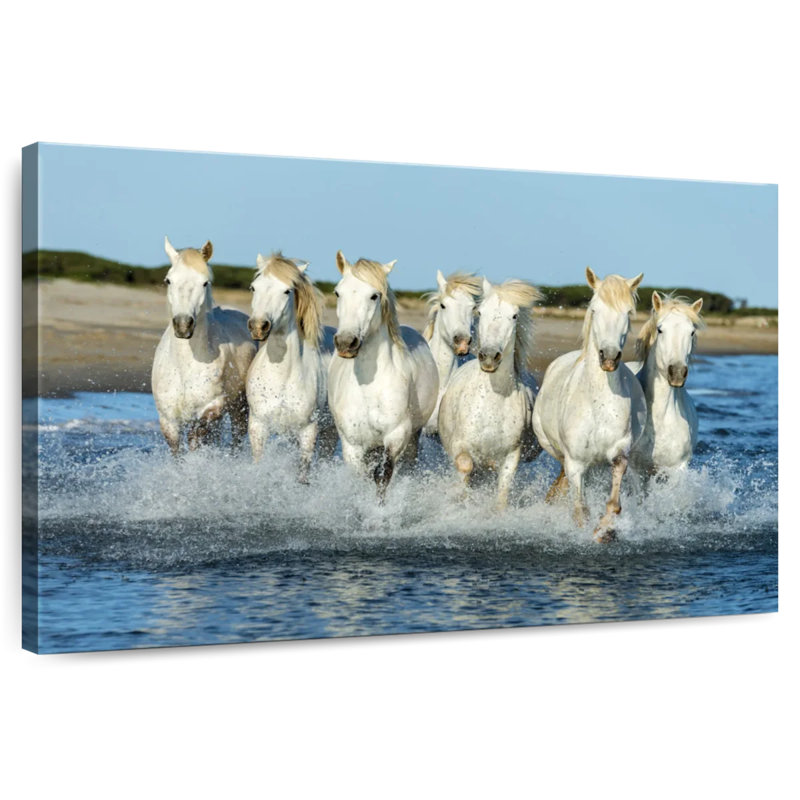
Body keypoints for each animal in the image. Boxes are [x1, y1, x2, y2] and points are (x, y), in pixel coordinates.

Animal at [152, 236, 256, 455]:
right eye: (168, 280)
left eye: (205, 282)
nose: (183, 325)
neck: (184, 367)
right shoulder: (168, 421)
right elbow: (177, 453)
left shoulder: (212, 407)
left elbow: (196, 439)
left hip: (239, 409)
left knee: (236, 439)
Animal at [245, 252, 338, 480]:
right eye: (253, 287)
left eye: (287, 291)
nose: (258, 327)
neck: (281, 378)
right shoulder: (258, 426)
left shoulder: (308, 431)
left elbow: (302, 475)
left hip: (330, 433)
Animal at [327, 251, 439, 501]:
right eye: (338, 292)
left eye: (374, 296)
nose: (346, 343)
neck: (369, 387)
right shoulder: (352, 444)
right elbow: (362, 477)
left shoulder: (396, 435)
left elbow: (382, 476)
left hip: (412, 436)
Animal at [438, 277, 542, 509]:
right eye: (480, 312)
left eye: (514, 316)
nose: (488, 357)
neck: (492, 402)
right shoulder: (459, 446)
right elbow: (466, 466)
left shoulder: (512, 456)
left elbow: (502, 494)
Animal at [532, 267, 646, 541]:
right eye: (594, 309)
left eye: (629, 312)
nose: (609, 357)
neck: (597, 404)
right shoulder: (575, 463)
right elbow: (580, 510)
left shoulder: (619, 451)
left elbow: (614, 497)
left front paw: (605, 529)